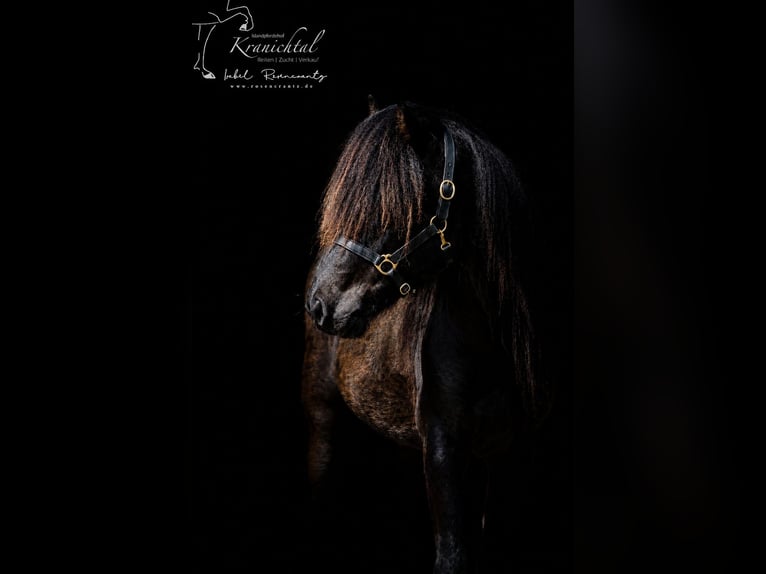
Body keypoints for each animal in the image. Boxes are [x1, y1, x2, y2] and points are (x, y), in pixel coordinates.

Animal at [301, 98, 547, 573]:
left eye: (389, 205)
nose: (319, 304)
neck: (490, 352)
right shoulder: (443, 451)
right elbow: (452, 554)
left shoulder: (509, 462)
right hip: (323, 419)